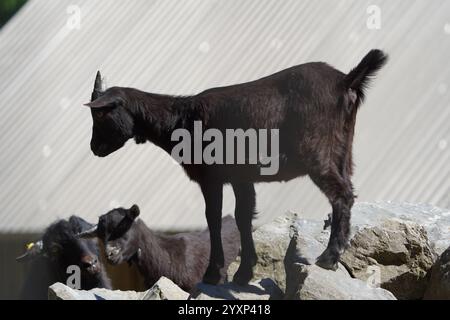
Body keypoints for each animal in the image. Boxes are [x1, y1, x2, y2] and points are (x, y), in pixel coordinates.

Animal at [83, 50, 386, 284]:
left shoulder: (211, 177)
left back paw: (328, 257)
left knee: (341, 195)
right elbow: (243, 216)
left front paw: (213, 274)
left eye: (101, 114)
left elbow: (214, 218)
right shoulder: (242, 176)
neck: (180, 120)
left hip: (318, 152)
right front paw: (243, 272)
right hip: (343, 151)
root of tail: (346, 81)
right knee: (348, 191)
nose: (94, 148)